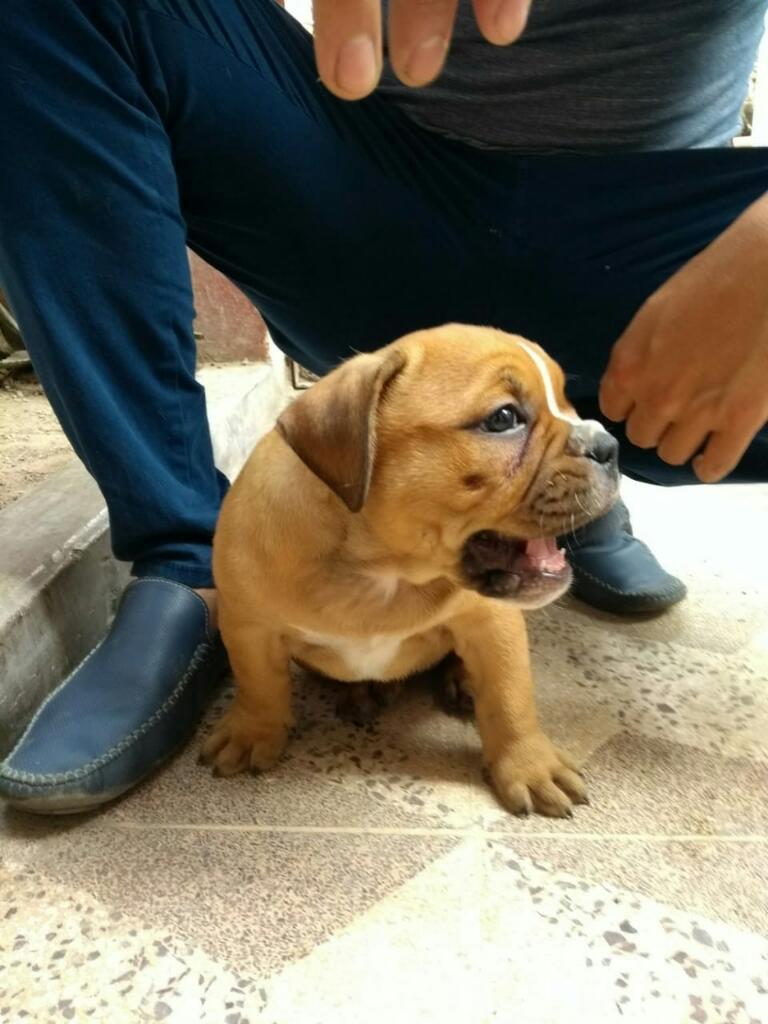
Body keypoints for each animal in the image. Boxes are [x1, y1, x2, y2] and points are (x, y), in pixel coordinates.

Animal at [202, 323, 618, 819]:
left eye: (567, 402)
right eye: (503, 419)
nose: (609, 445)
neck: (382, 570)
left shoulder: (491, 621)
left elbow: (509, 696)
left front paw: (530, 765)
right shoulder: (248, 625)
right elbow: (258, 684)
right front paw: (253, 732)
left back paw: (461, 680)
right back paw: (363, 691)